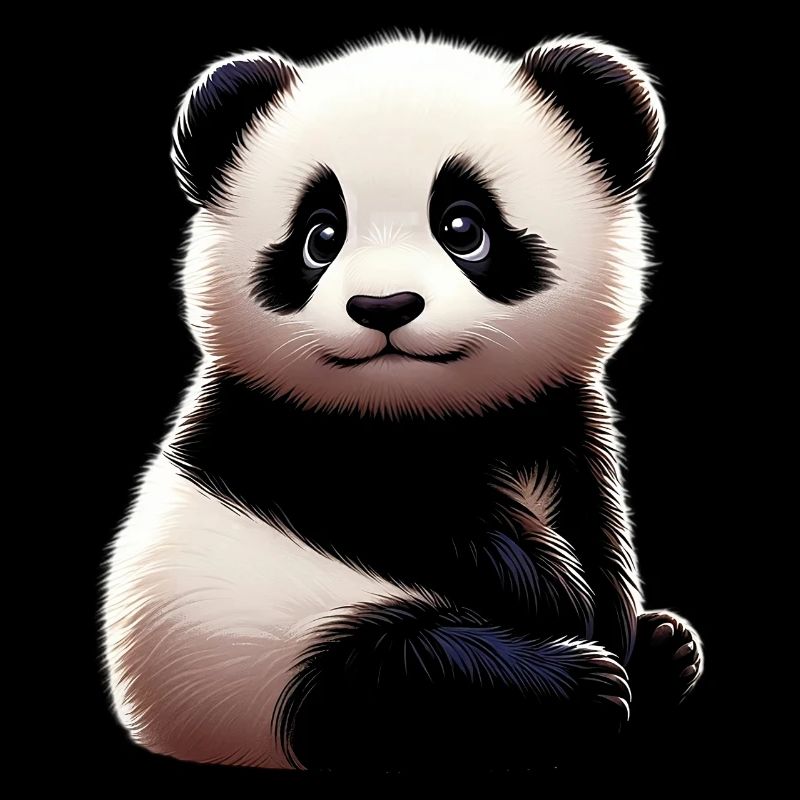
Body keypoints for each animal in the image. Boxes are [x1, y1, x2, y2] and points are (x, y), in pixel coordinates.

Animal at [103, 34, 703, 770]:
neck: (422, 413)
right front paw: (557, 594)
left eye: (463, 226)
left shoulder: (561, 415)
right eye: (321, 236)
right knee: (392, 677)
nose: (383, 306)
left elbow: (597, 520)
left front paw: (615, 619)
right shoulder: (276, 429)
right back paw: (582, 688)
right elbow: (392, 512)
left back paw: (663, 651)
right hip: (248, 654)